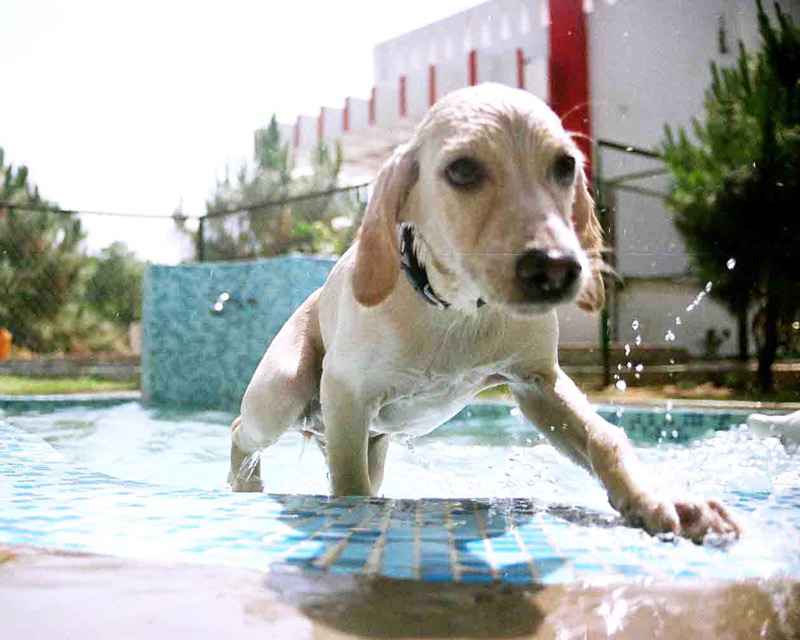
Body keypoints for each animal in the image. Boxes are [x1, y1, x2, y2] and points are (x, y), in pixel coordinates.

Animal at [228, 83, 739, 542]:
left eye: (566, 165)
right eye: (462, 170)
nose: (556, 268)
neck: (458, 312)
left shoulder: (538, 383)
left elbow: (604, 437)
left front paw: (659, 497)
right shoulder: (346, 389)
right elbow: (350, 489)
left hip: (366, 436)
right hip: (284, 393)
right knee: (243, 430)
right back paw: (244, 486)